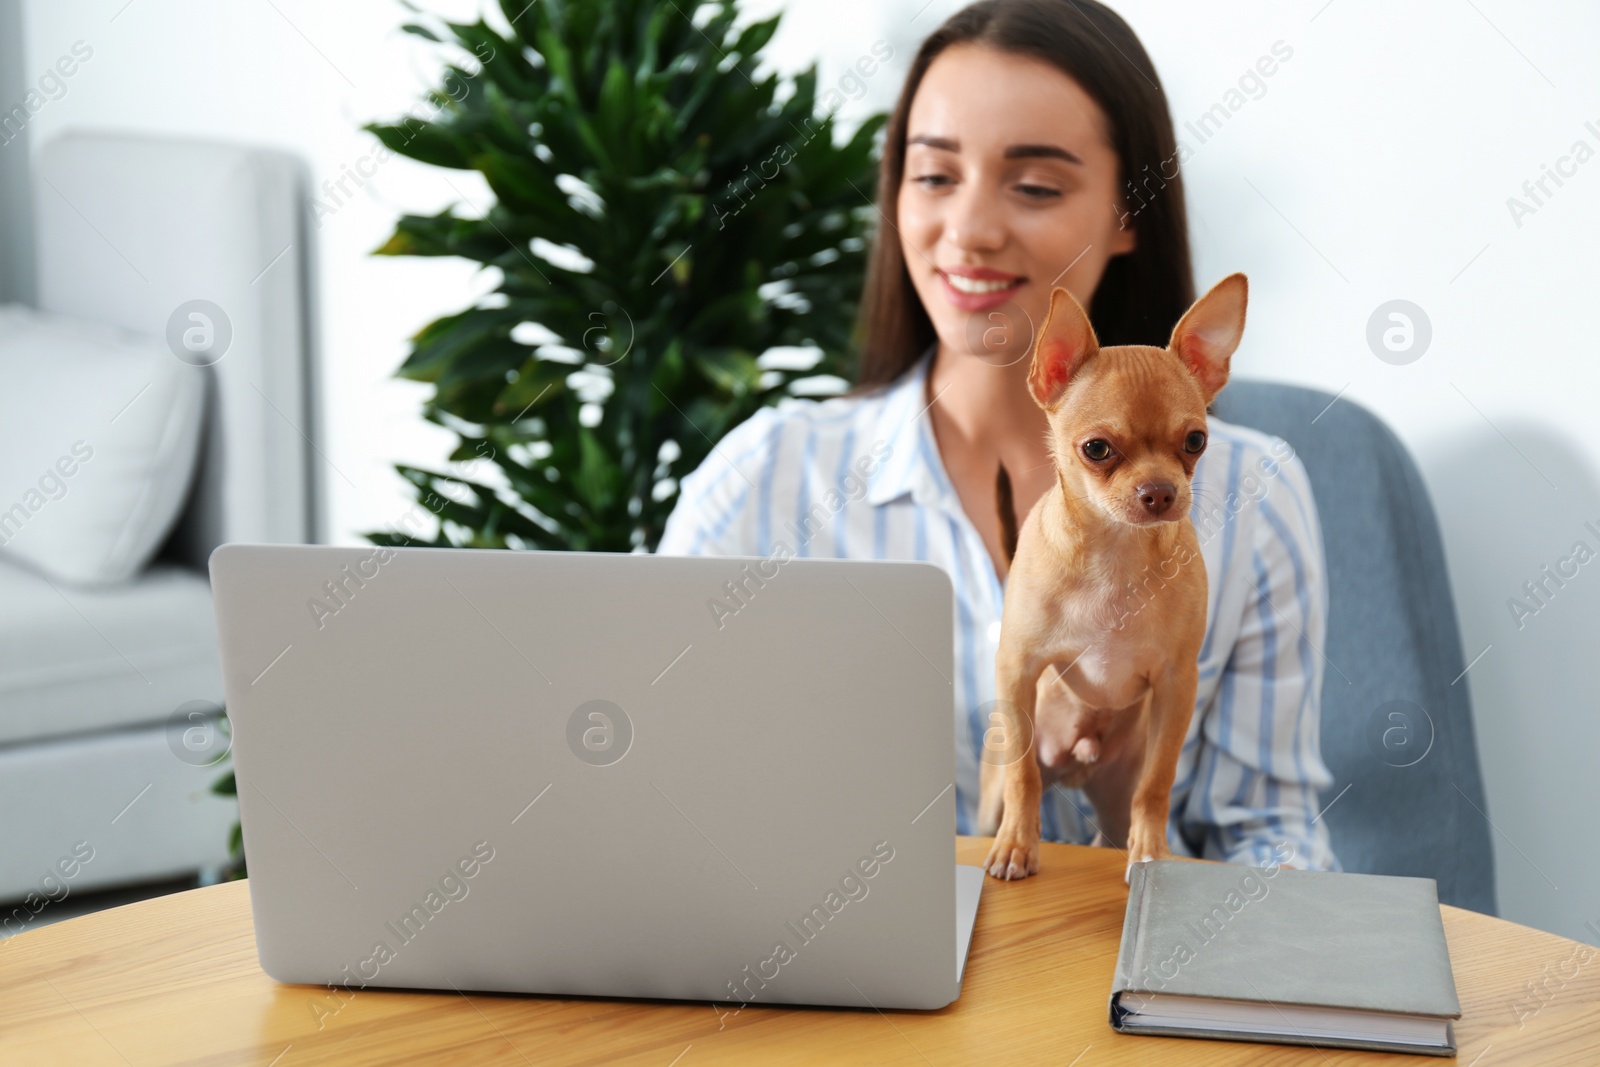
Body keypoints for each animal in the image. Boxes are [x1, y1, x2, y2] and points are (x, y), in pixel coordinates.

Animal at [972, 275, 1248, 883]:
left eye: (1196, 441)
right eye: (1096, 449)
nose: (1160, 492)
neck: (1115, 554)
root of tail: (1079, 765)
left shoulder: (1176, 684)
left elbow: (1159, 782)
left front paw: (1152, 853)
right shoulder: (1019, 671)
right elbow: (1024, 776)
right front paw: (1018, 846)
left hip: (1115, 792)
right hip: (989, 795)